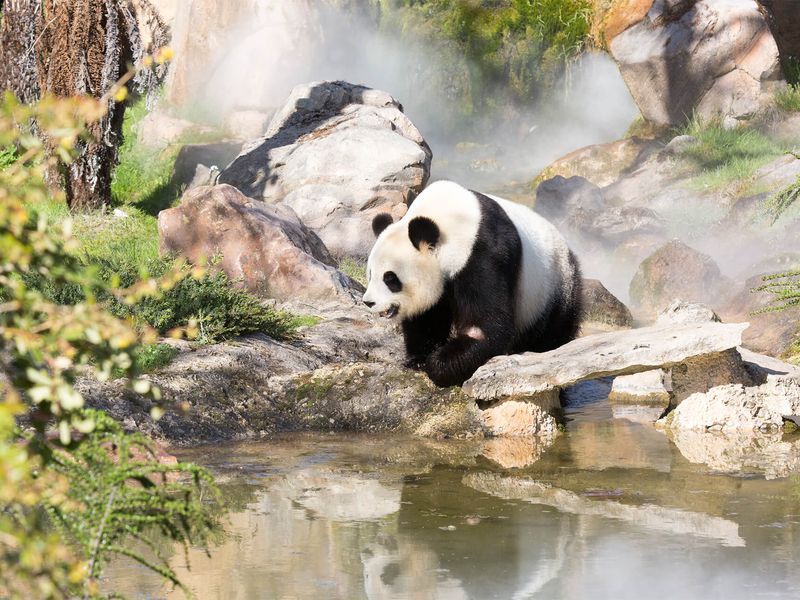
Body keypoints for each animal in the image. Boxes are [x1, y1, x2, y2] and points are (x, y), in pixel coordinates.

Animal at [362, 178, 580, 386]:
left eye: (390, 278)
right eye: (371, 274)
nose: (369, 302)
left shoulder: (483, 255)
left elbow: (483, 328)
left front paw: (438, 365)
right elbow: (427, 315)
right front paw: (419, 359)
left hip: (553, 286)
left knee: (552, 330)